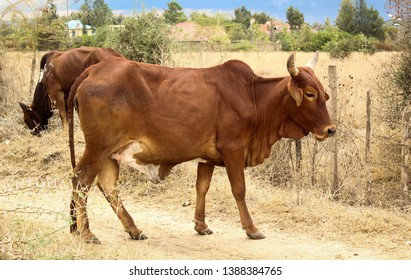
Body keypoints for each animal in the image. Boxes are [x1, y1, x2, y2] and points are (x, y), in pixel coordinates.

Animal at [68, 52, 338, 243]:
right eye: (310, 94)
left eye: (325, 94)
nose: (330, 130)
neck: (254, 98)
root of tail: (93, 70)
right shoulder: (233, 149)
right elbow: (239, 189)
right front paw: (252, 228)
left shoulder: (207, 157)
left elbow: (202, 187)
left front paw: (201, 225)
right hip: (98, 148)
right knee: (82, 180)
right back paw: (87, 233)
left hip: (111, 152)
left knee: (108, 186)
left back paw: (131, 229)